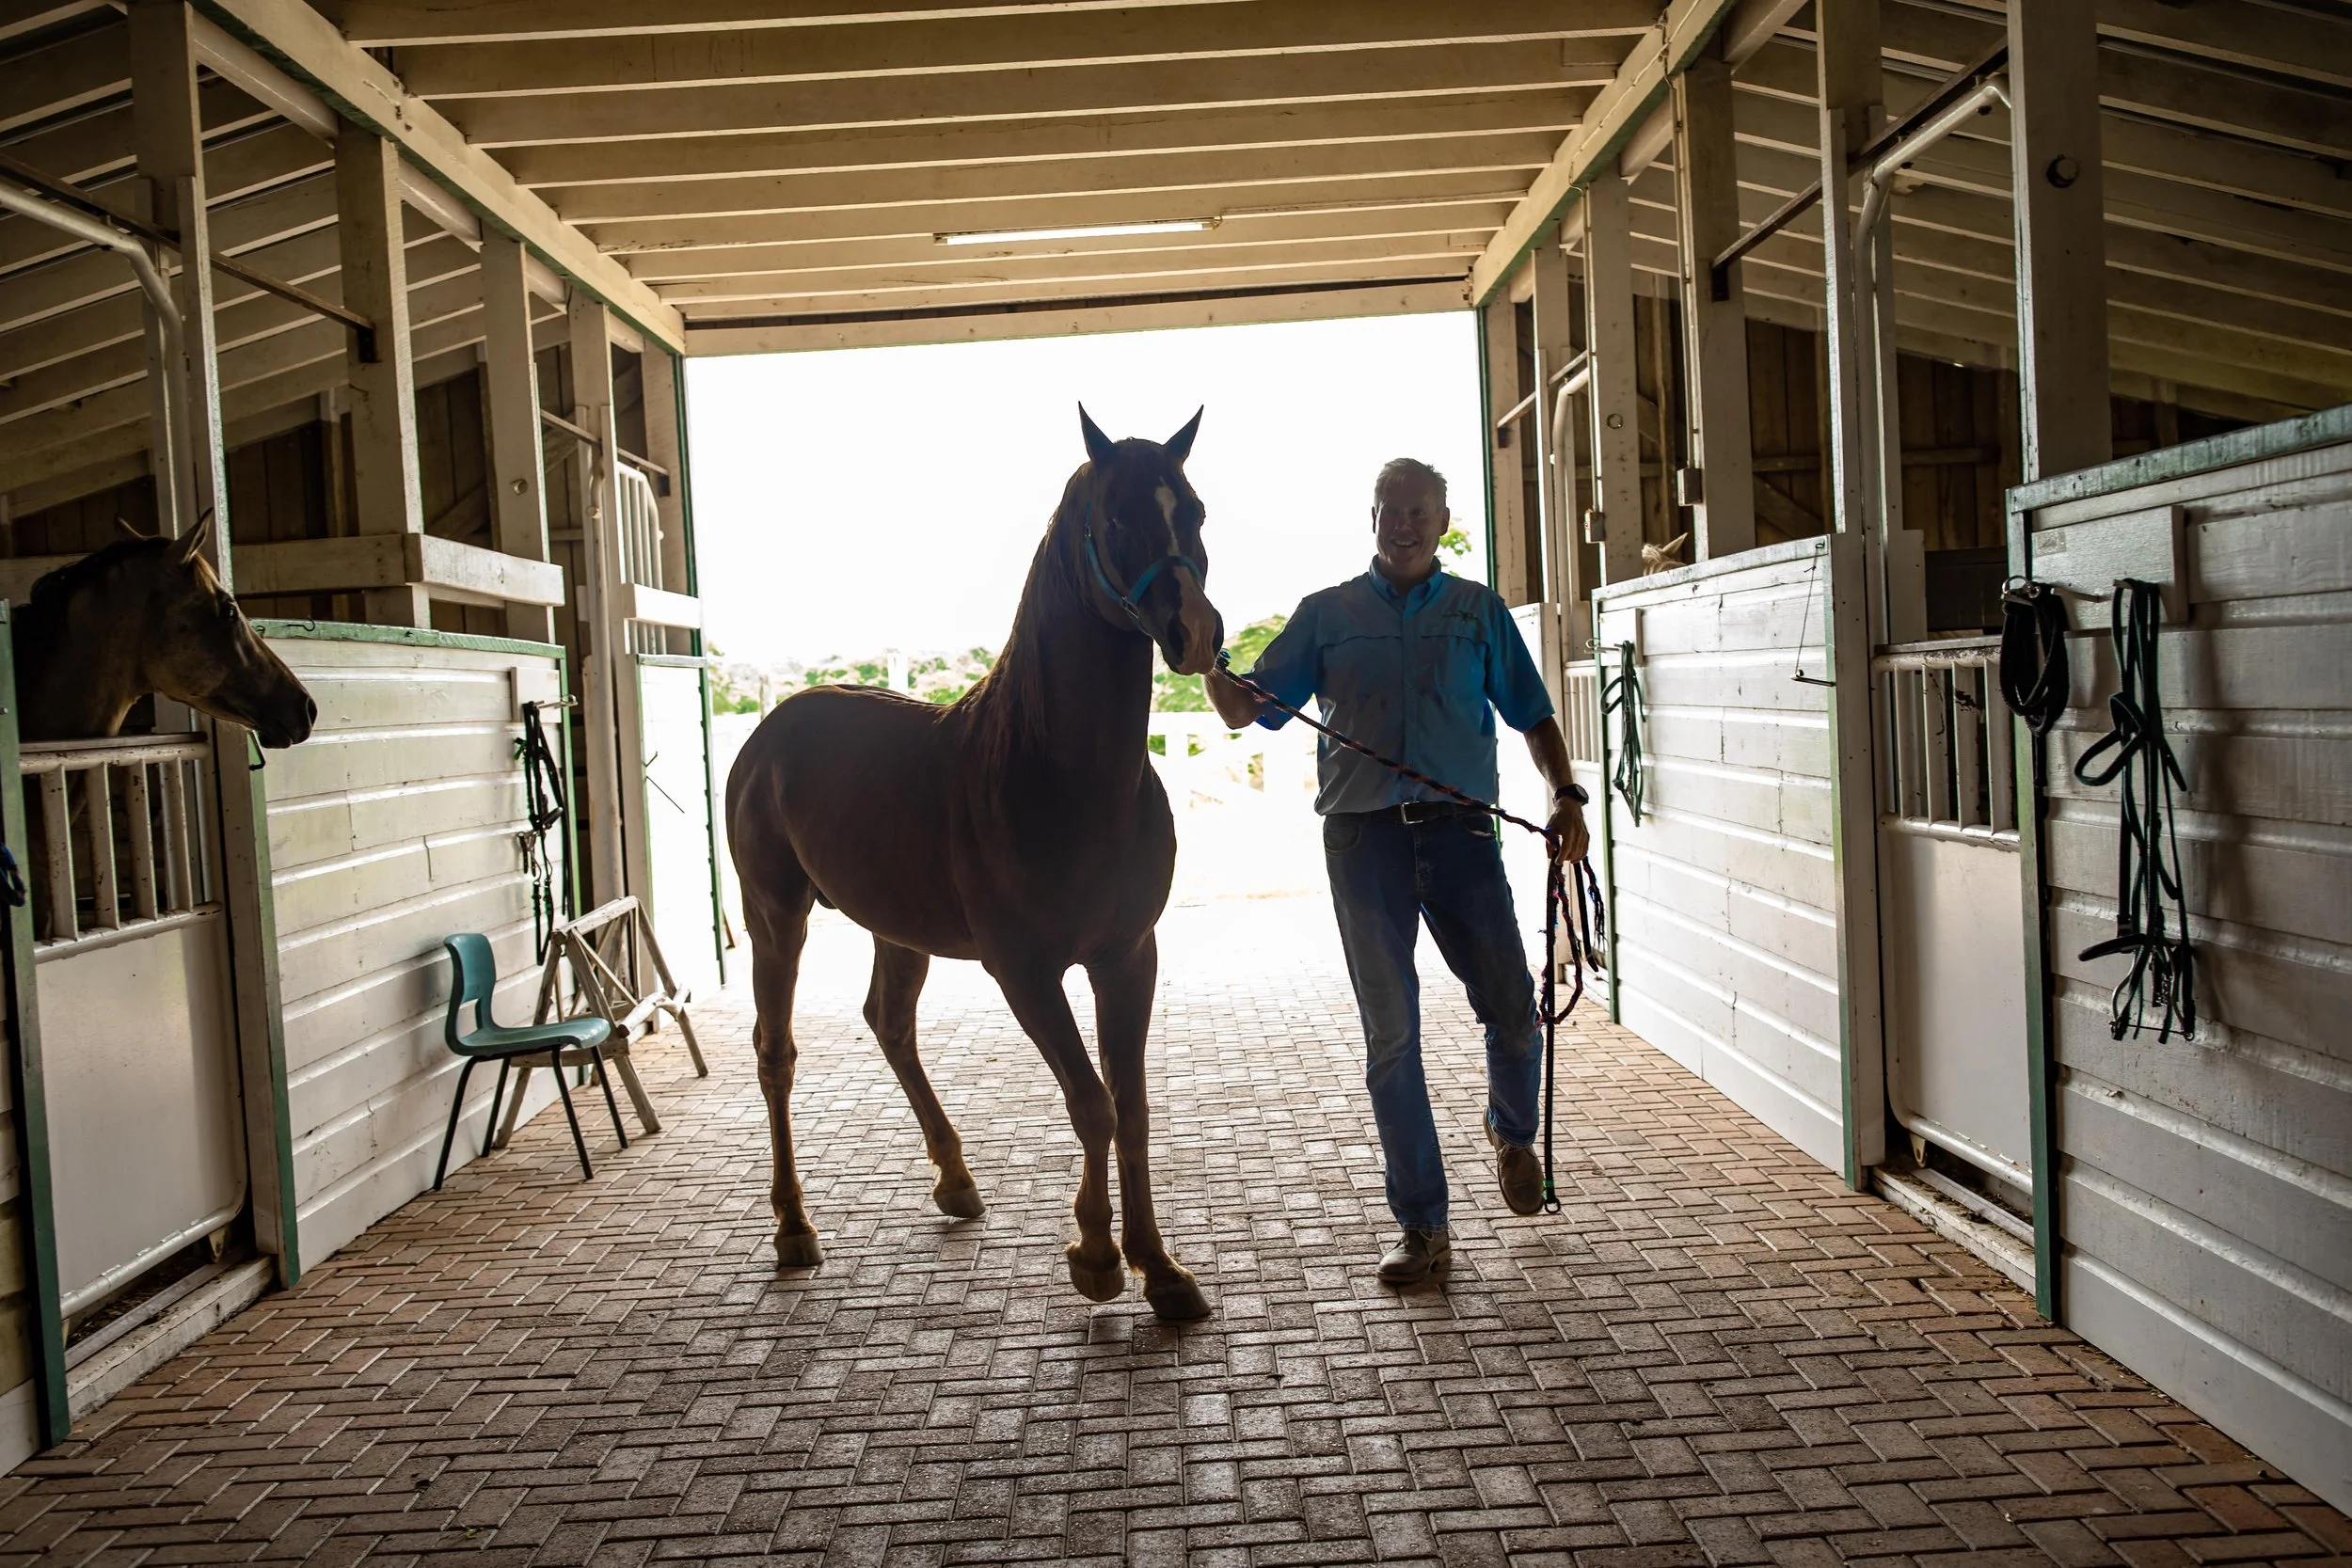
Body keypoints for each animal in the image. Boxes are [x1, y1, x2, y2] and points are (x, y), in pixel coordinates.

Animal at [726, 408, 1224, 1321]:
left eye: (1197, 511)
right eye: (1116, 517)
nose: (1198, 635)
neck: (1059, 775)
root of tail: (775, 724)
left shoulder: (1127, 956)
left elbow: (1130, 1105)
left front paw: (1162, 1268)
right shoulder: (1025, 971)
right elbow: (1090, 1102)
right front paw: (1096, 1255)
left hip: (898, 928)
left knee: (890, 1022)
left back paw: (956, 1179)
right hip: (775, 917)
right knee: (776, 1054)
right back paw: (793, 1228)